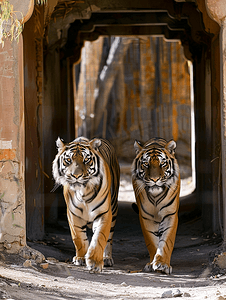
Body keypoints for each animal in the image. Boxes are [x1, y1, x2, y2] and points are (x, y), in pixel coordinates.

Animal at [52, 137, 120, 274]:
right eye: (68, 160)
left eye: (86, 160)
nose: (76, 176)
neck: (83, 192)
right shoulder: (73, 215)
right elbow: (79, 238)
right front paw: (80, 258)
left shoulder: (104, 214)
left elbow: (99, 238)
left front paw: (94, 263)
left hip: (114, 209)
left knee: (109, 238)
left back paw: (107, 258)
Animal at [131, 138, 180, 274]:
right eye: (146, 164)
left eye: (162, 164)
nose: (154, 179)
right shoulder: (146, 217)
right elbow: (152, 241)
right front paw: (152, 263)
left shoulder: (170, 215)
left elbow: (166, 242)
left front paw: (162, 264)